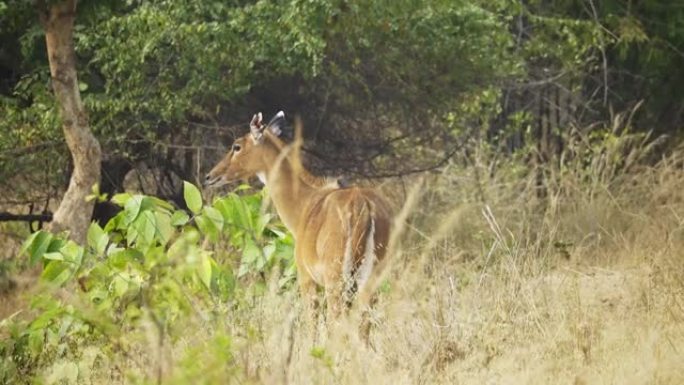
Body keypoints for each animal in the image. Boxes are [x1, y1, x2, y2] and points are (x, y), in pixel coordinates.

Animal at [204, 110, 390, 336]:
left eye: (236, 146)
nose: (210, 176)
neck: (305, 204)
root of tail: (364, 206)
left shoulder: (306, 277)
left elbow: (312, 327)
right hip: (370, 280)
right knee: (364, 326)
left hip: (336, 279)